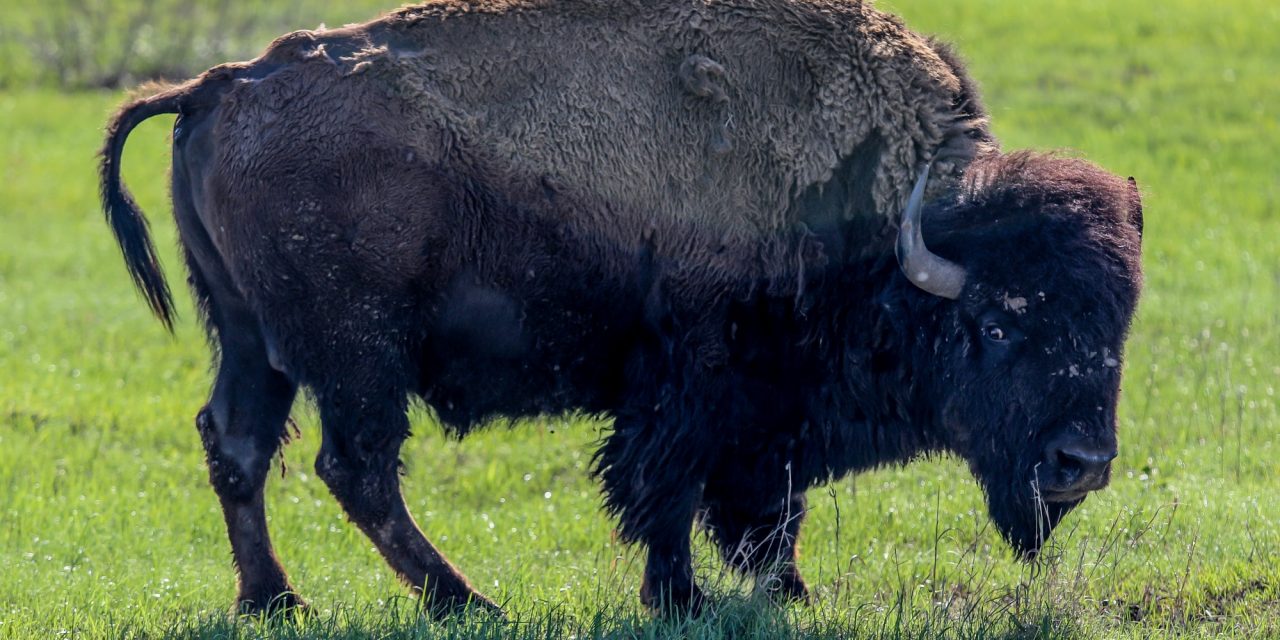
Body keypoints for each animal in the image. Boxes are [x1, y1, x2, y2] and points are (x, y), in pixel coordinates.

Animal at [97, 0, 1141, 619]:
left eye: (1115, 328)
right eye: (997, 324)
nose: (1082, 463)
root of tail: (219, 86)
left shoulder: (755, 415)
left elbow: (763, 504)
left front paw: (788, 591)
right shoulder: (694, 384)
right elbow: (670, 494)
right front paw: (683, 599)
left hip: (250, 337)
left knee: (237, 445)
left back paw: (276, 602)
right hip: (355, 354)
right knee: (355, 468)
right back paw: (467, 604)